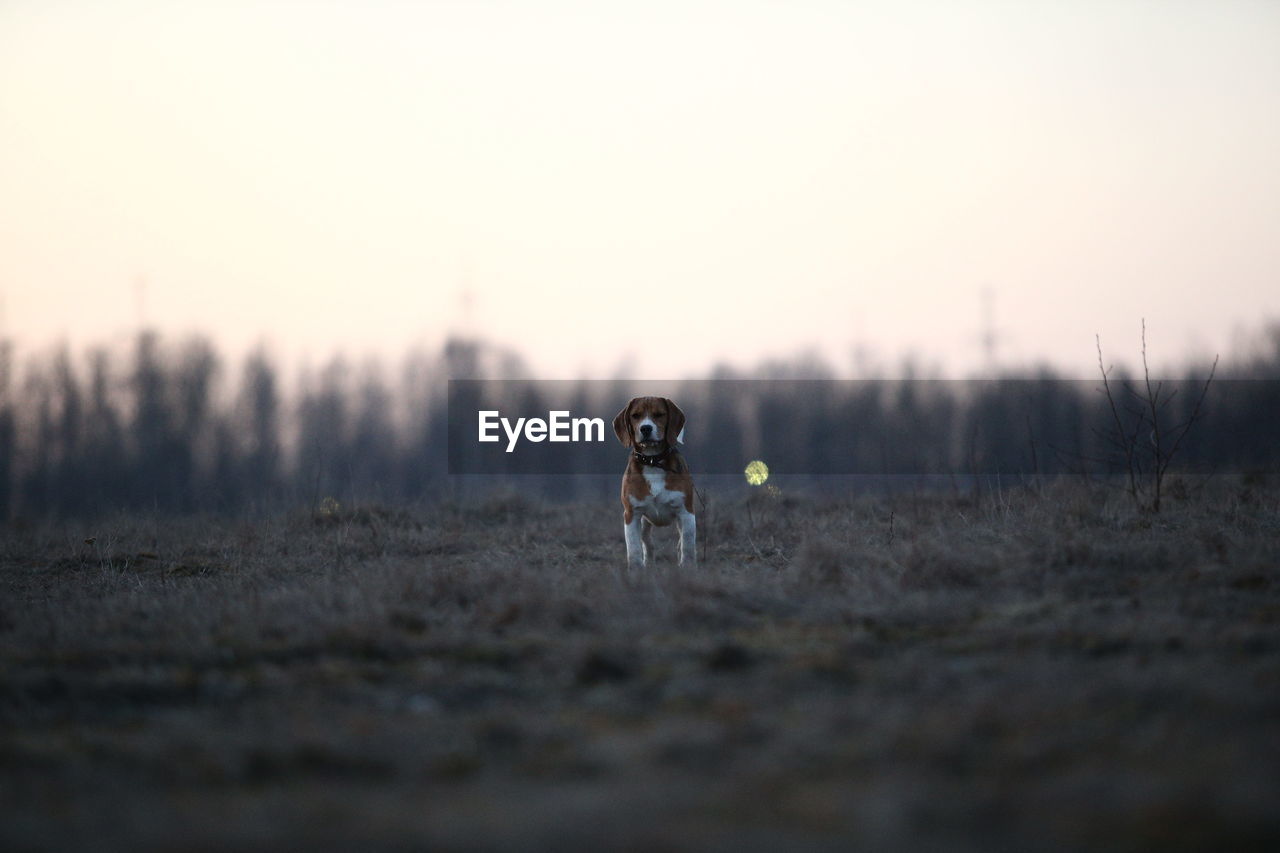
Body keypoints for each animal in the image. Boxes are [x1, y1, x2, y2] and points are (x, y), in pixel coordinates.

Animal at [611, 397, 696, 568]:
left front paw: (688, 568)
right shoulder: (632, 514)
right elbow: (634, 548)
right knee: (648, 544)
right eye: (635, 415)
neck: (652, 461)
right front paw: (636, 570)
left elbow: (688, 546)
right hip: (644, 523)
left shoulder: (686, 512)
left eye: (659, 414)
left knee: (680, 542)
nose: (645, 428)